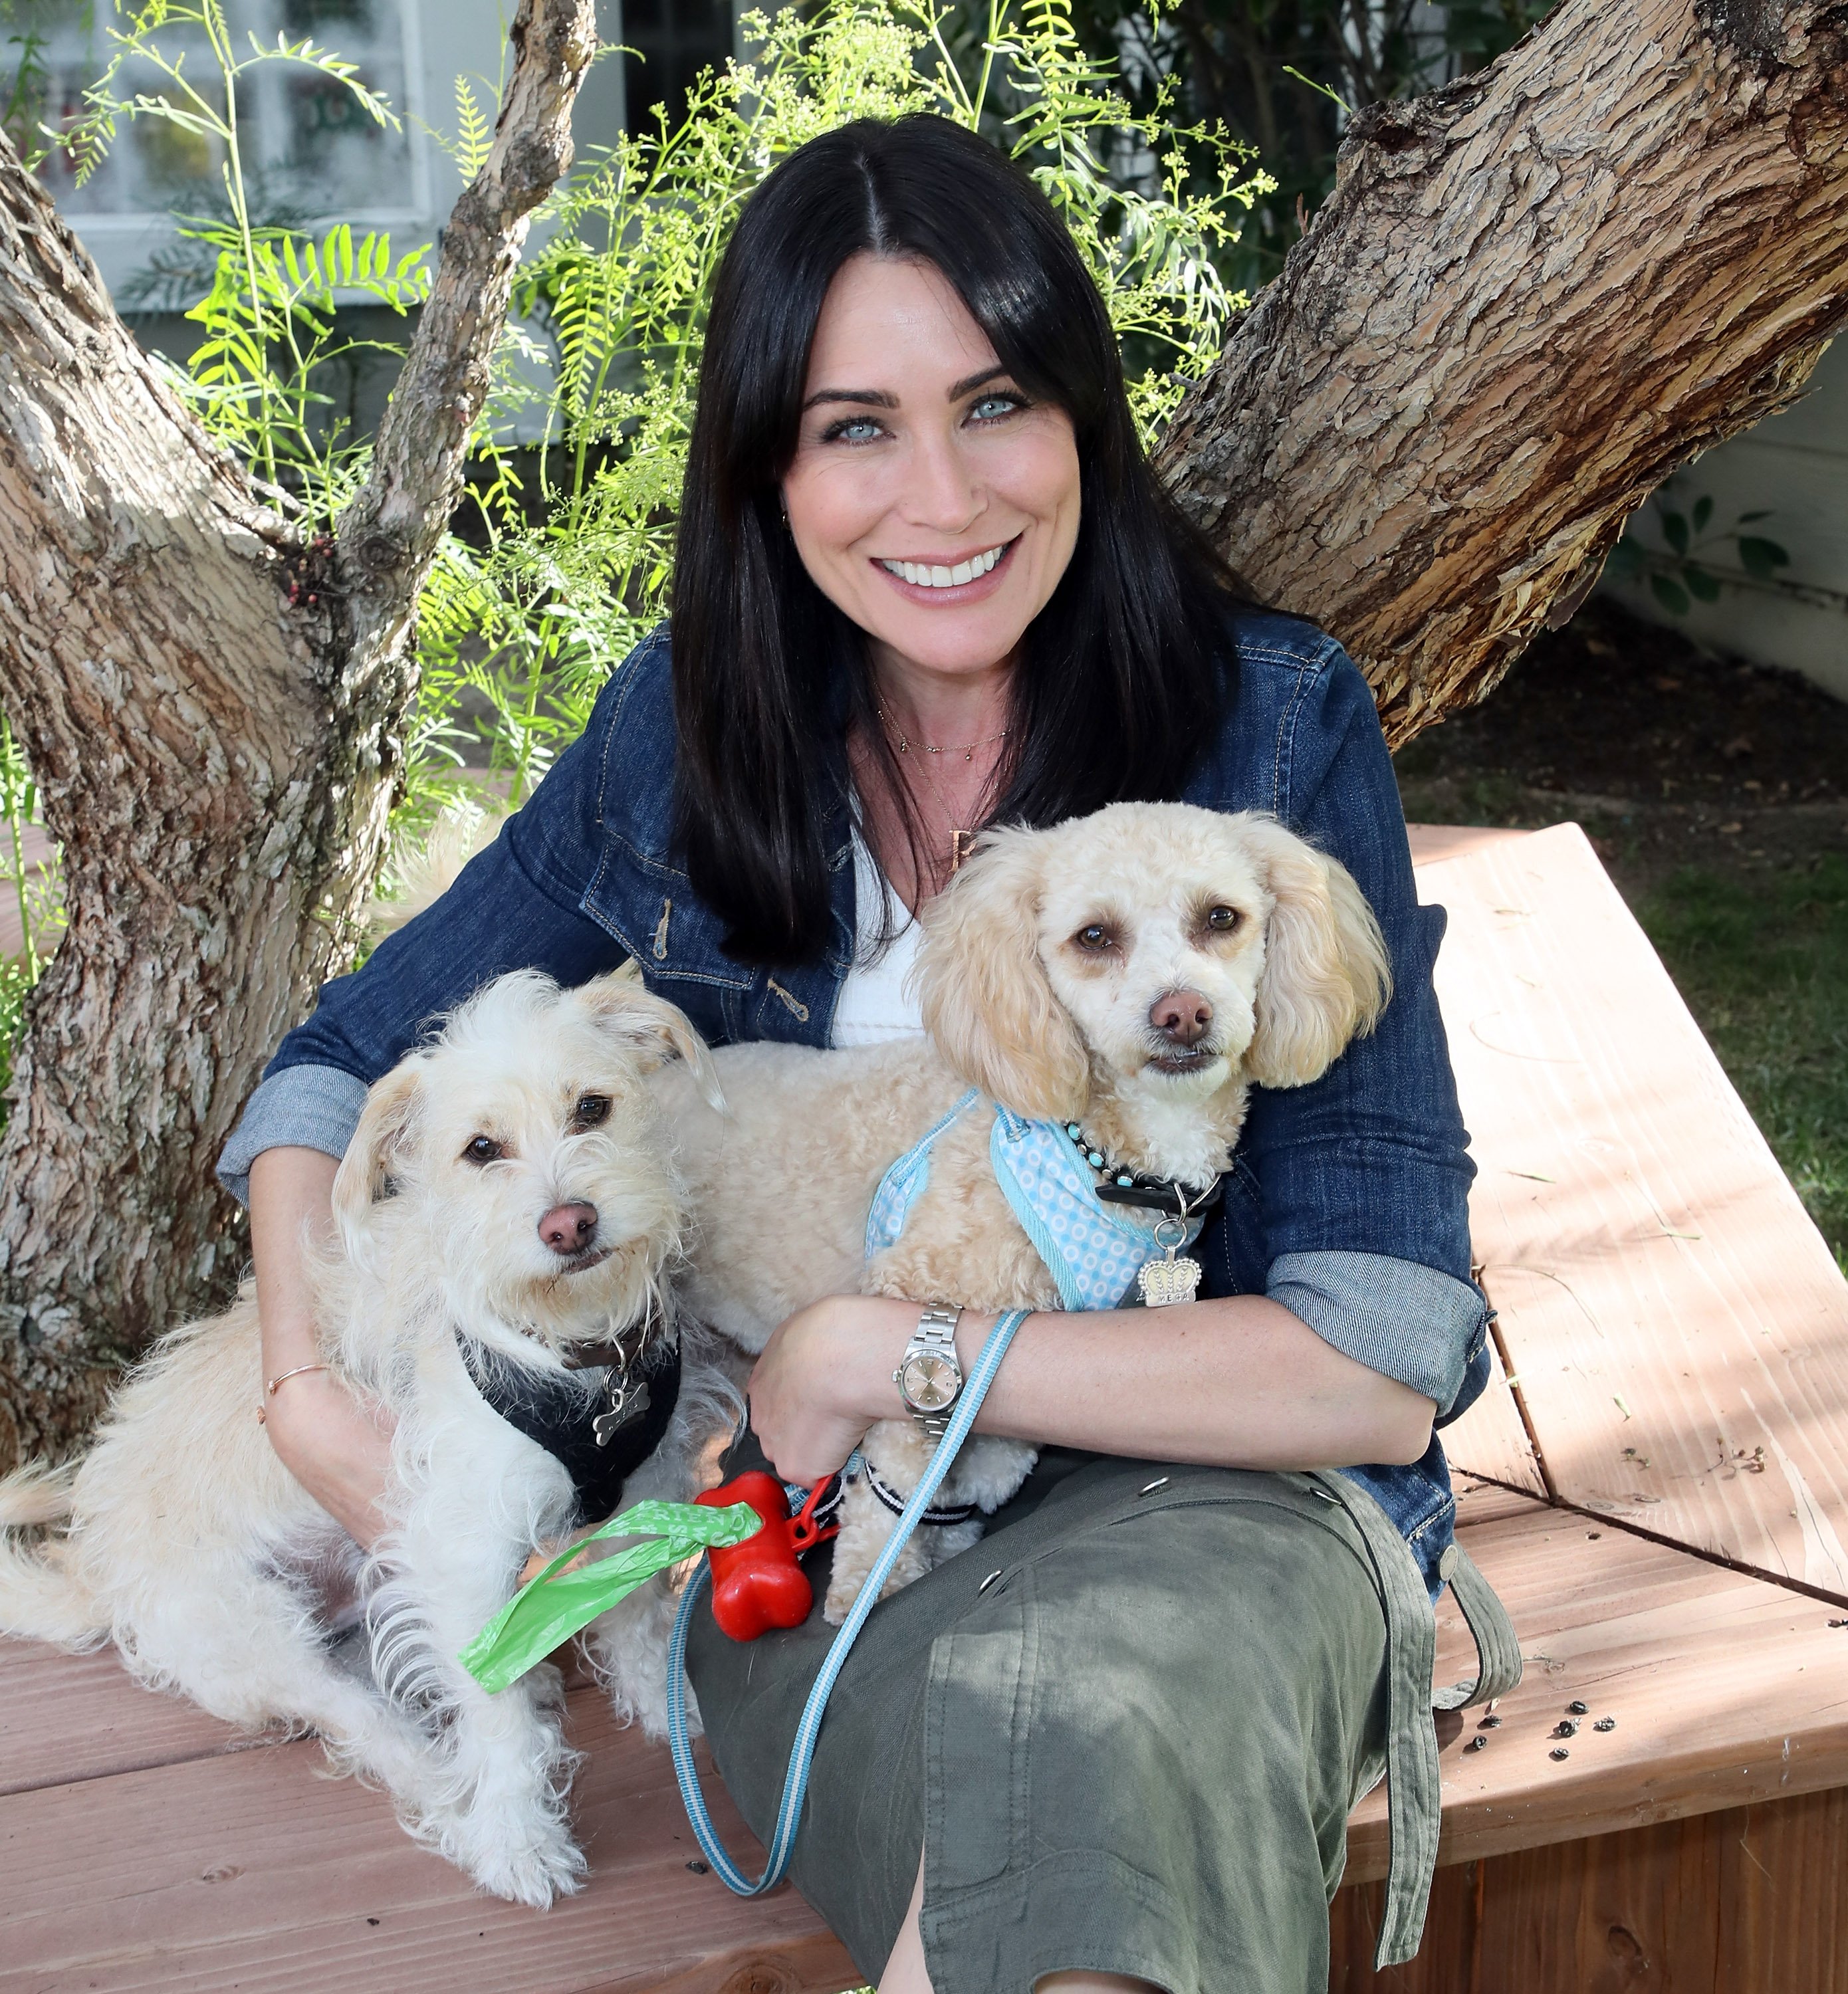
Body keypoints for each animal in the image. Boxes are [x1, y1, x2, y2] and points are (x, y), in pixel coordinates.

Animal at [0, 973, 729, 1906]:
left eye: (592, 1108)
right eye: (480, 1149)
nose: (569, 1224)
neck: (573, 1347)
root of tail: (93, 1567)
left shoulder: (641, 1494)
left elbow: (634, 1616)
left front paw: (663, 1704)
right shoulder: (459, 1552)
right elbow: (494, 1718)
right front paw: (518, 1841)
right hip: (265, 1639)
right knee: (376, 1732)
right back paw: (454, 1794)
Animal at [649, 802, 1387, 1627]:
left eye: (1220, 917)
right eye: (1093, 936)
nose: (1183, 1012)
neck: (1099, 1155)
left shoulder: (1018, 1345)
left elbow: (990, 1460)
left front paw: (948, 1533)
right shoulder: (907, 1306)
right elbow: (891, 1486)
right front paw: (871, 1586)